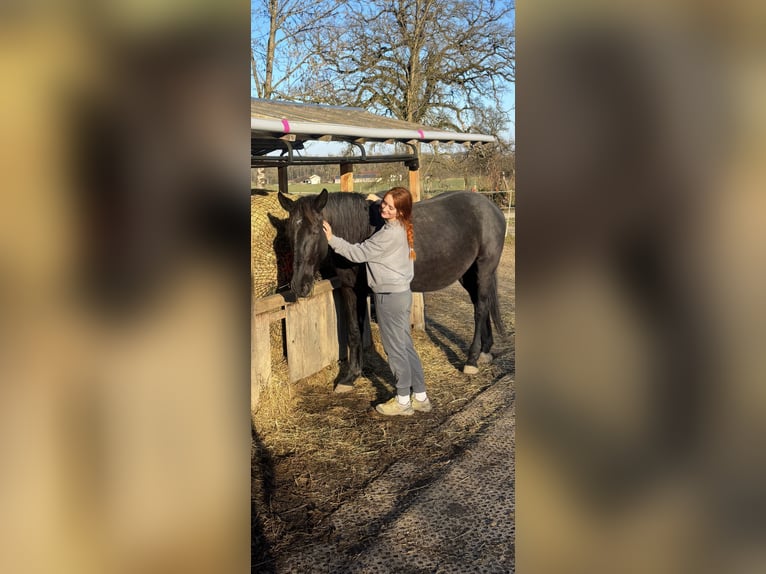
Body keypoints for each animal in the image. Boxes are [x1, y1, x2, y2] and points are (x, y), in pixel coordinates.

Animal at [280, 191, 508, 390]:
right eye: (290, 234)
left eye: (315, 231)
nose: (299, 285)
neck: (359, 233)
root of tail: (492, 207)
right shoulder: (351, 290)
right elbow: (354, 331)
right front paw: (351, 377)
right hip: (468, 274)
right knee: (481, 303)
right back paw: (485, 351)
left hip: (484, 268)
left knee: (480, 309)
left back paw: (471, 360)